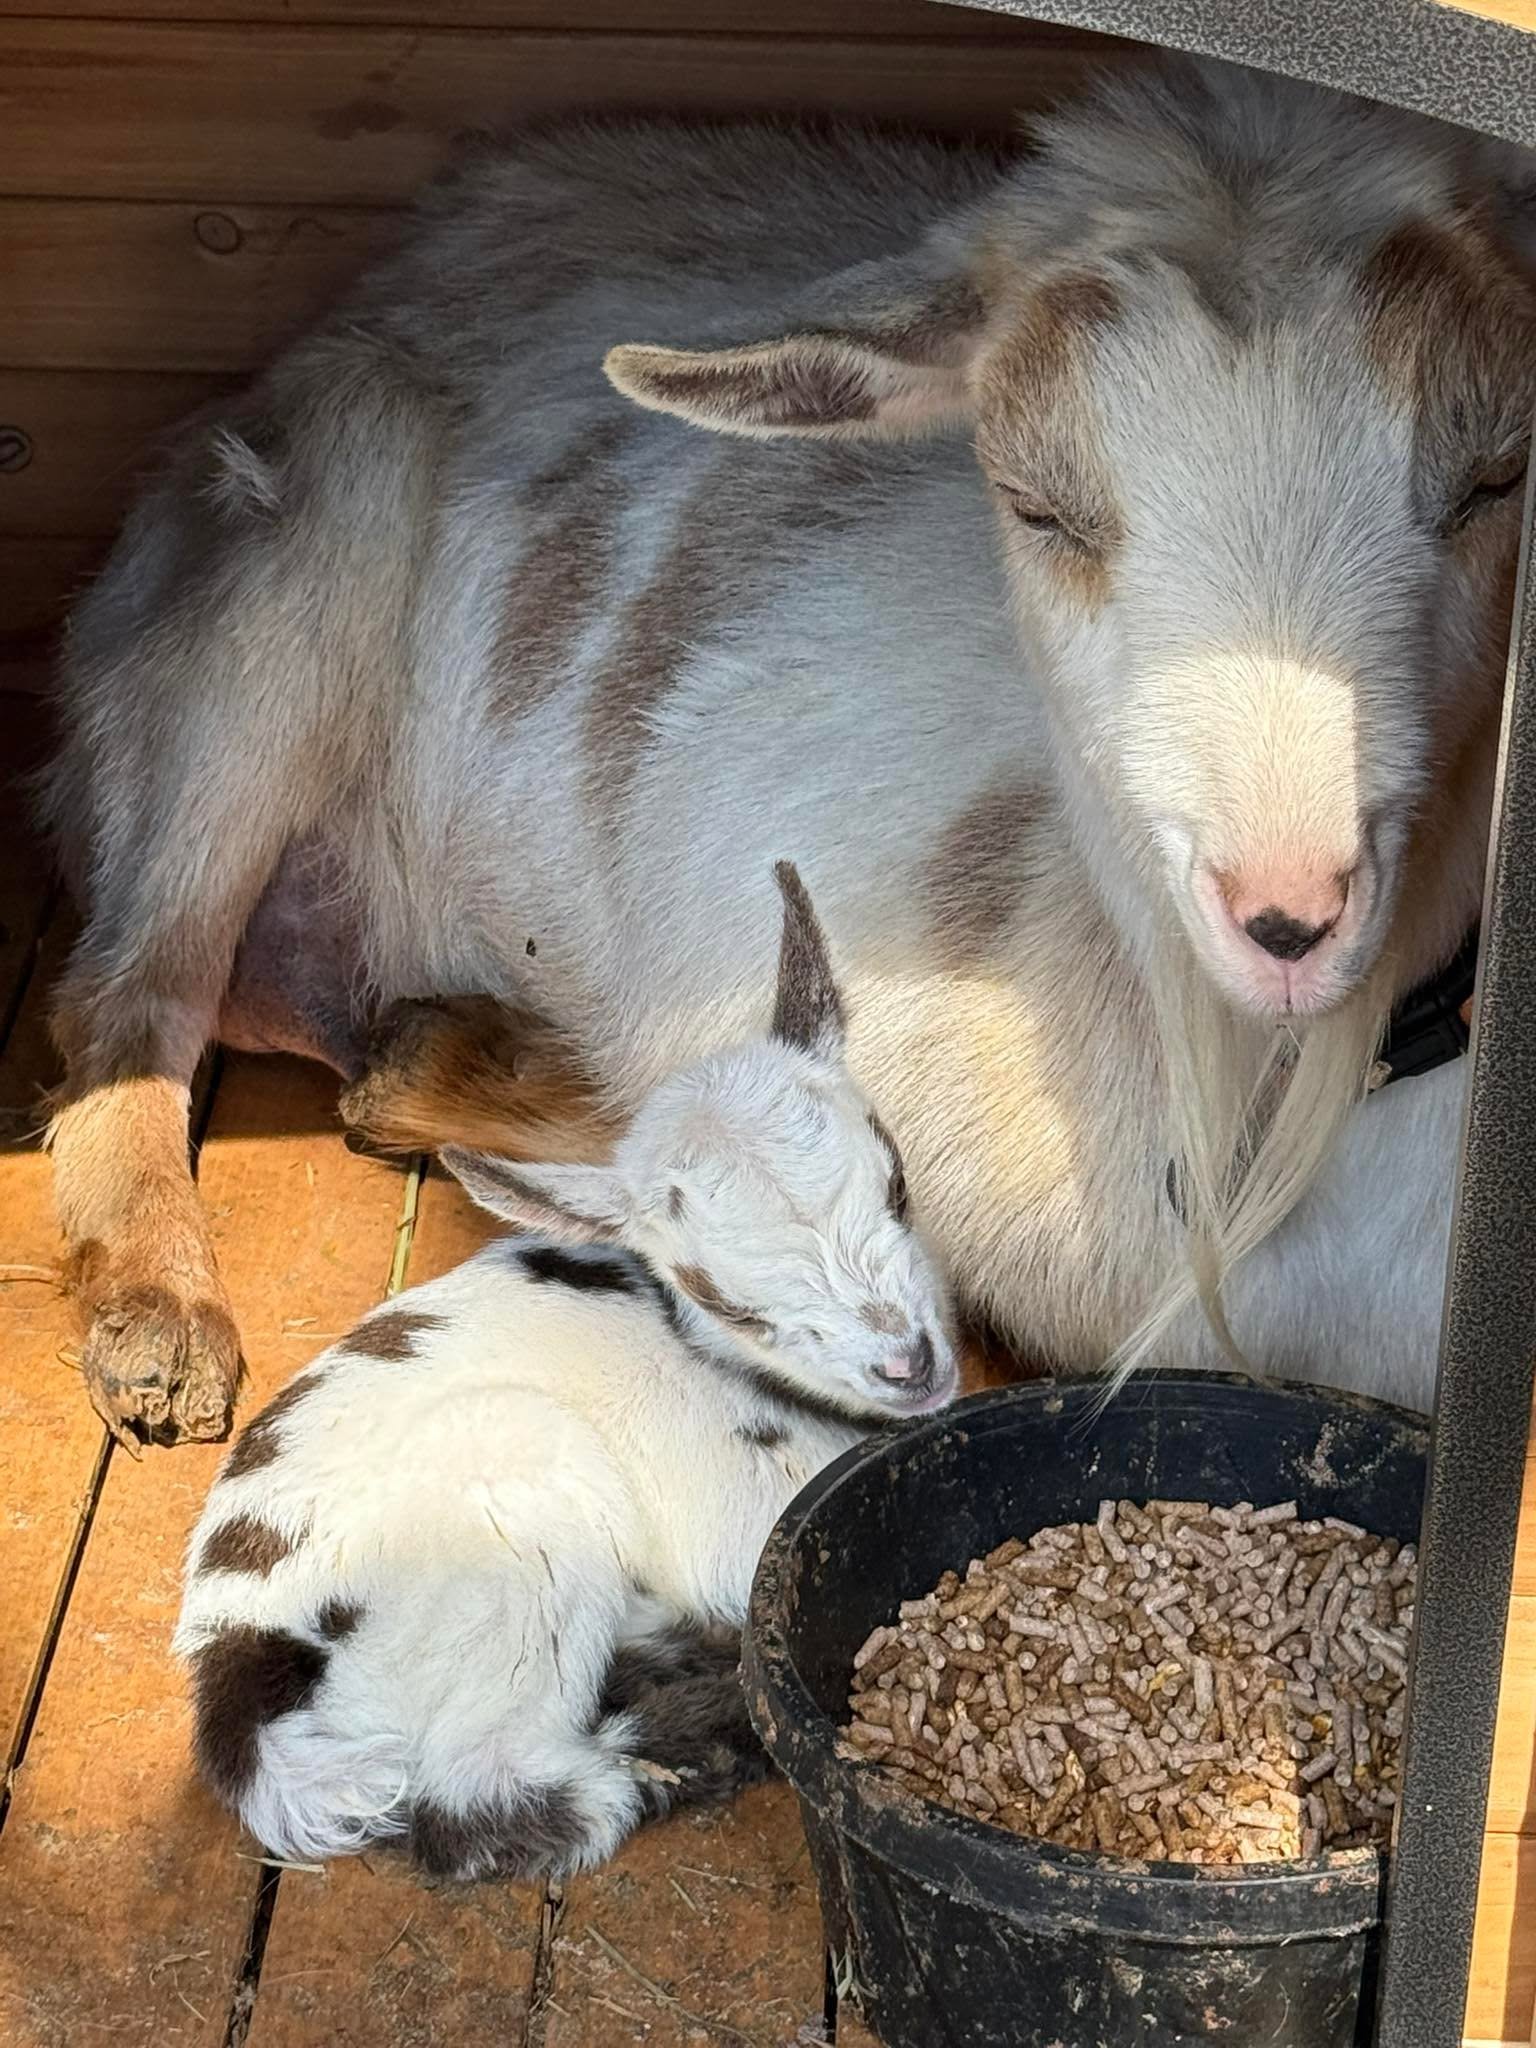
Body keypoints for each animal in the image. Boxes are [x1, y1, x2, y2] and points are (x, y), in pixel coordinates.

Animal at [43, 57, 1536, 1450]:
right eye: (1033, 503)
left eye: (1494, 479)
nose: (1288, 913)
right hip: (283, 570)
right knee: (132, 984)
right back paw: (162, 1316)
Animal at [172, 863, 957, 1878]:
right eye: (729, 1303)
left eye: (898, 1184)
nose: (910, 1364)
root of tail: (244, 1701)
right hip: (512, 1507)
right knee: (481, 1800)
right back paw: (690, 1740)